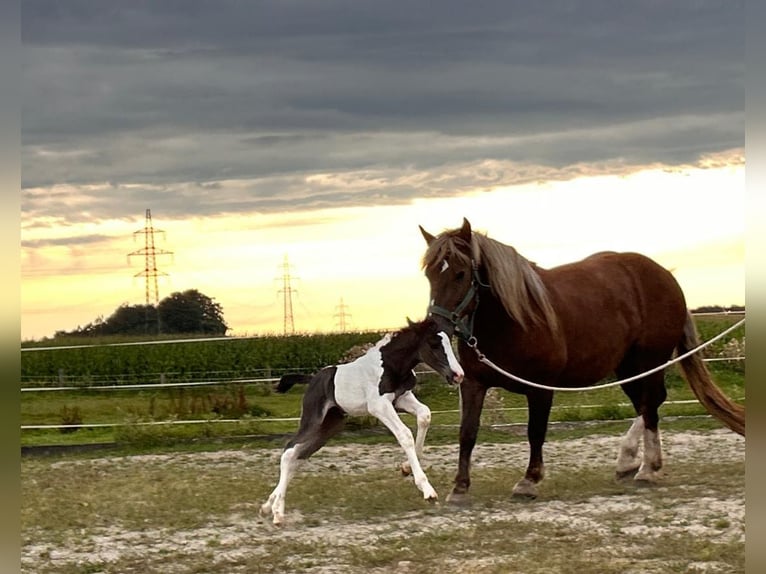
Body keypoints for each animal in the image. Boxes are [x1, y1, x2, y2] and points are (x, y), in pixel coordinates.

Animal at [260, 320, 464, 528]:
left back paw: (268, 506)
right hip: (313, 420)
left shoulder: (401, 399)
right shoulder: (379, 406)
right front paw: (427, 490)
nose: (458, 375)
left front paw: (406, 468)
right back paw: (278, 513)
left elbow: (425, 415)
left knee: (299, 456)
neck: (390, 365)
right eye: (434, 344)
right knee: (289, 450)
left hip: (329, 426)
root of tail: (312, 378)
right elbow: (405, 434)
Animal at [420, 218, 744, 506]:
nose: (436, 326)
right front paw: (460, 488)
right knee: (648, 404)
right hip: (626, 368)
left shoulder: (540, 389)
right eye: (430, 275)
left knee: (650, 405)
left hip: (649, 361)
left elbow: (535, 432)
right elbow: (467, 433)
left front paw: (528, 482)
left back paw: (647, 469)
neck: (514, 320)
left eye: (460, 273)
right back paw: (628, 461)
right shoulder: (474, 385)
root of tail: (666, 276)